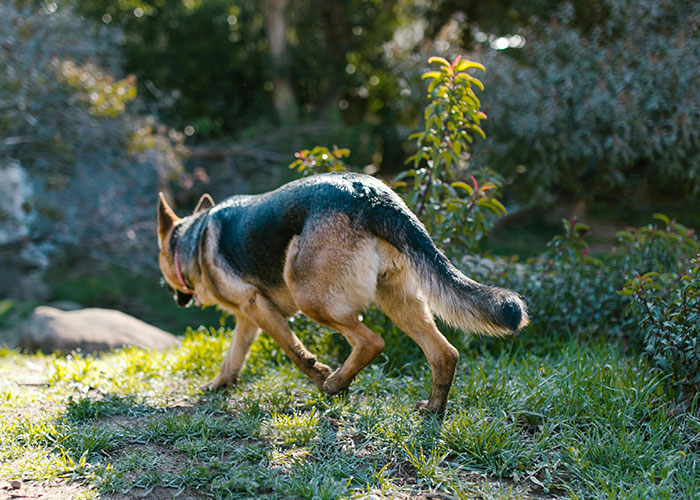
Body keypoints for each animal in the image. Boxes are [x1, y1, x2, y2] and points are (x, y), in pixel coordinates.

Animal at [159, 172, 528, 414]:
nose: (171, 294)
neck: (193, 237)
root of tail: (371, 195)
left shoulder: (256, 306)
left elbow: (294, 351)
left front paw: (319, 373)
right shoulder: (249, 317)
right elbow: (233, 357)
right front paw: (218, 385)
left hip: (311, 298)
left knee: (371, 341)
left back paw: (334, 384)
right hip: (397, 300)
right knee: (444, 352)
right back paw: (433, 409)